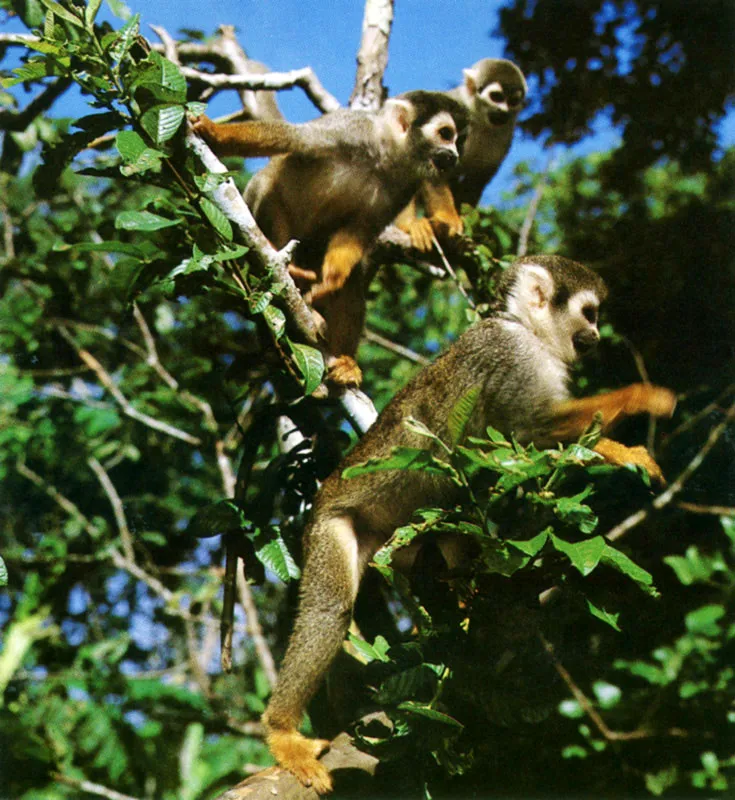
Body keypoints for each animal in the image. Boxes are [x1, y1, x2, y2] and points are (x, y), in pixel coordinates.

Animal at [190, 94, 466, 388]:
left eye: (456, 139)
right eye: (445, 134)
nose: (454, 155)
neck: (382, 158)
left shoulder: (405, 183)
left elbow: (359, 230)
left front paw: (332, 279)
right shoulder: (351, 129)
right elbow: (293, 138)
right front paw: (214, 133)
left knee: (351, 285)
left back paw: (344, 359)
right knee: (268, 191)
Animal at [260, 253, 680, 792]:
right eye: (589, 313)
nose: (596, 335)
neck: (520, 328)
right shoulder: (509, 356)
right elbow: (530, 429)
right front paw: (641, 400)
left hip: (398, 540)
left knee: (445, 523)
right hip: (332, 523)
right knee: (331, 609)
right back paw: (282, 731)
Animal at [400, 59, 528, 250]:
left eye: (513, 101)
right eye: (496, 96)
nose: (503, 111)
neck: (479, 118)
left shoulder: (506, 134)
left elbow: (476, 181)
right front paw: (448, 220)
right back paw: (408, 225)